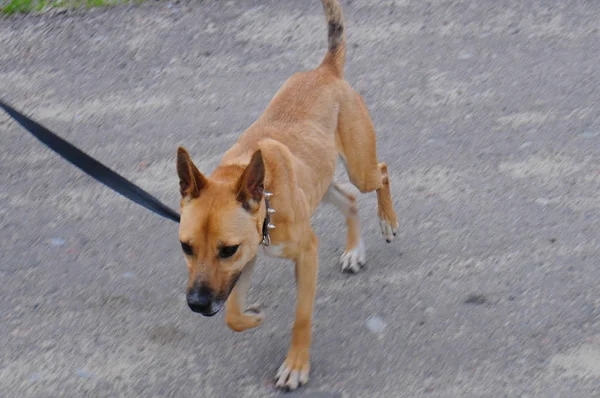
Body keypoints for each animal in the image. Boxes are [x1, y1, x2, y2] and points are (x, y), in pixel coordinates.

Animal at [176, 0, 396, 392]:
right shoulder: (245, 262)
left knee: (382, 172)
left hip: (361, 168)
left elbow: (302, 317)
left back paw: (387, 220)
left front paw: (296, 365)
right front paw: (252, 317)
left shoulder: (304, 254)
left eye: (226, 249)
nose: (197, 304)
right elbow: (233, 314)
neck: (266, 198)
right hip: (321, 184)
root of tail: (325, 71)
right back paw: (355, 250)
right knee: (351, 200)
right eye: (186, 247)